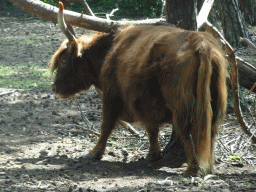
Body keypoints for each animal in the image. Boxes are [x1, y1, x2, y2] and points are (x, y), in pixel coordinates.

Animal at [50, 3, 228, 177]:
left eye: (64, 61)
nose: (54, 88)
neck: (109, 51)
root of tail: (199, 43)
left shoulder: (112, 95)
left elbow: (106, 125)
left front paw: (94, 153)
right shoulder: (147, 103)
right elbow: (151, 128)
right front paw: (153, 154)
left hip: (180, 103)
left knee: (187, 130)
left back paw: (192, 168)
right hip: (215, 101)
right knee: (211, 130)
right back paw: (209, 166)